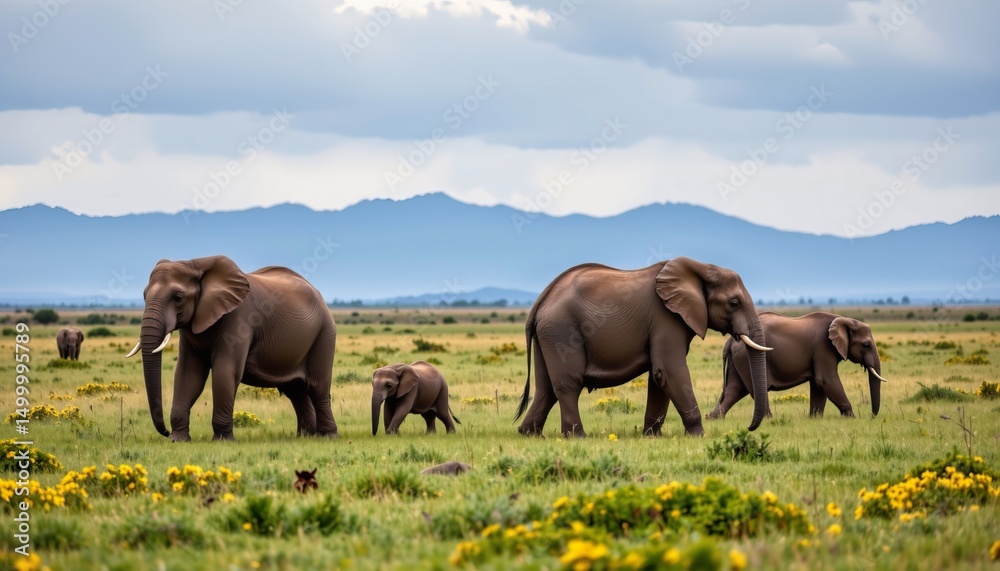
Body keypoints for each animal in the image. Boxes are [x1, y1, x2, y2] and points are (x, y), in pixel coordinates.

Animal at [125, 255, 338, 441]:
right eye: (144, 295)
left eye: (178, 297)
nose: (165, 432)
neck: (195, 264)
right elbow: (187, 375)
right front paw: (178, 440)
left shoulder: (239, 318)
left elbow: (225, 371)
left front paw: (222, 440)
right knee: (296, 391)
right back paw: (305, 436)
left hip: (324, 333)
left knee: (317, 387)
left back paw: (327, 436)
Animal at [514, 257, 773, 438]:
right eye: (734, 303)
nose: (749, 428)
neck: (702, 267)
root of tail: (540, 301)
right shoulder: (666, 319)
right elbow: (668, 372)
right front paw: (699, 435)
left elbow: (658, 378)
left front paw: (651, 436)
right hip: (562, 330)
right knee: (568, 383)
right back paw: (577, 436)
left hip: (548, 333)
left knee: (546, 386)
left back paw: (529, 434)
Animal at [707, 312, 887, 419]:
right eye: (866, 345)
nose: (871, 416)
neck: (844, 319)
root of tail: (731, 340)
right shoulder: (823, 347)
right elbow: (826, 380)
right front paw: (851, 417)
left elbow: (818, 384)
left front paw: (815, 419)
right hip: (747, 356)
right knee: (752, 387)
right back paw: (768, 419)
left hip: (739, 357)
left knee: (735, 389)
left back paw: (714, 418)